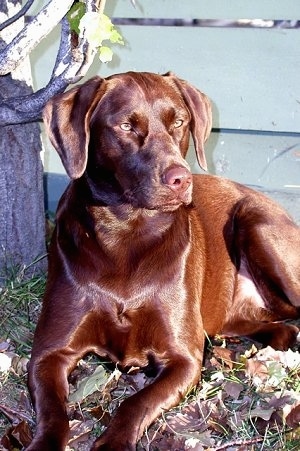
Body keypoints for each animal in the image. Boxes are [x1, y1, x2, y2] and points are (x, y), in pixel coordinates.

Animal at [27, 72, 300, 450]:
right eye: (126, 126)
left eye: (179, 122)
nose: (180, 179)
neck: (127, 235)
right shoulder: (47, 354)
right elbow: (53, 410)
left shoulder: (183, 359)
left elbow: (135, 402)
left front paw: (113, 443)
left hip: (258, 223)